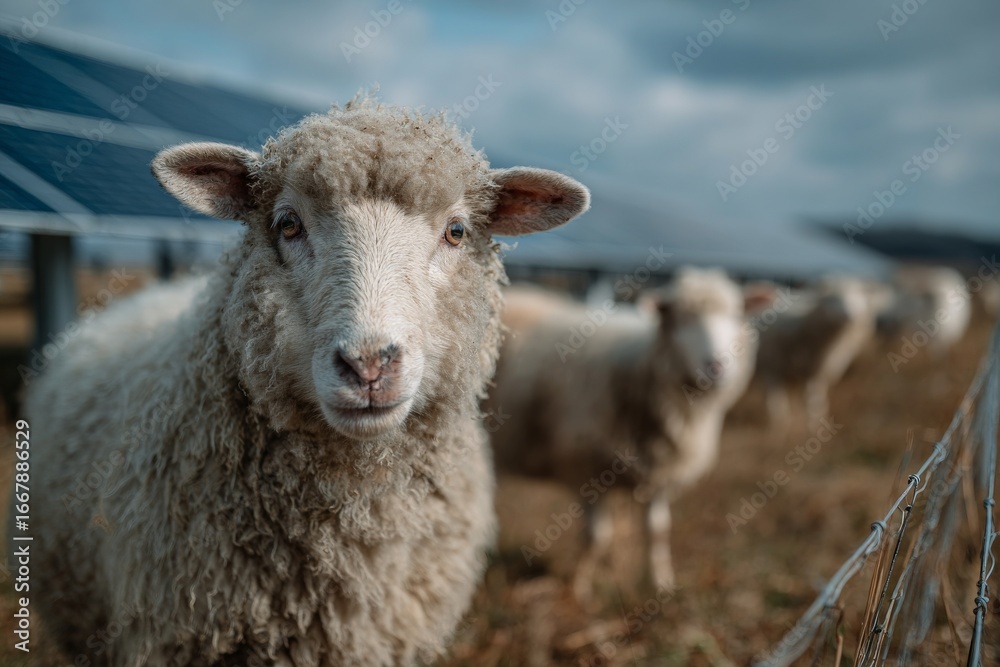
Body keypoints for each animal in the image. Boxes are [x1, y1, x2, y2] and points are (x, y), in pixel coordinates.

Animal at [486, 268, 765, 597]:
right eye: (681, 320)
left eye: (736, 315)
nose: (717, 367)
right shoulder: (588, 470)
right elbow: (597, 537)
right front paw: (579, 588)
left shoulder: (658, 474)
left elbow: (658, 532)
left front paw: (663, 586)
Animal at [753, 276, 880, 434]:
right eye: (833, 298)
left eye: (860, 297)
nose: (851, 316)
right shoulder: (771, 368)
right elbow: (776, 402)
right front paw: (778, 429)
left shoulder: (816, 373)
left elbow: (815, 402)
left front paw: (814, 425)